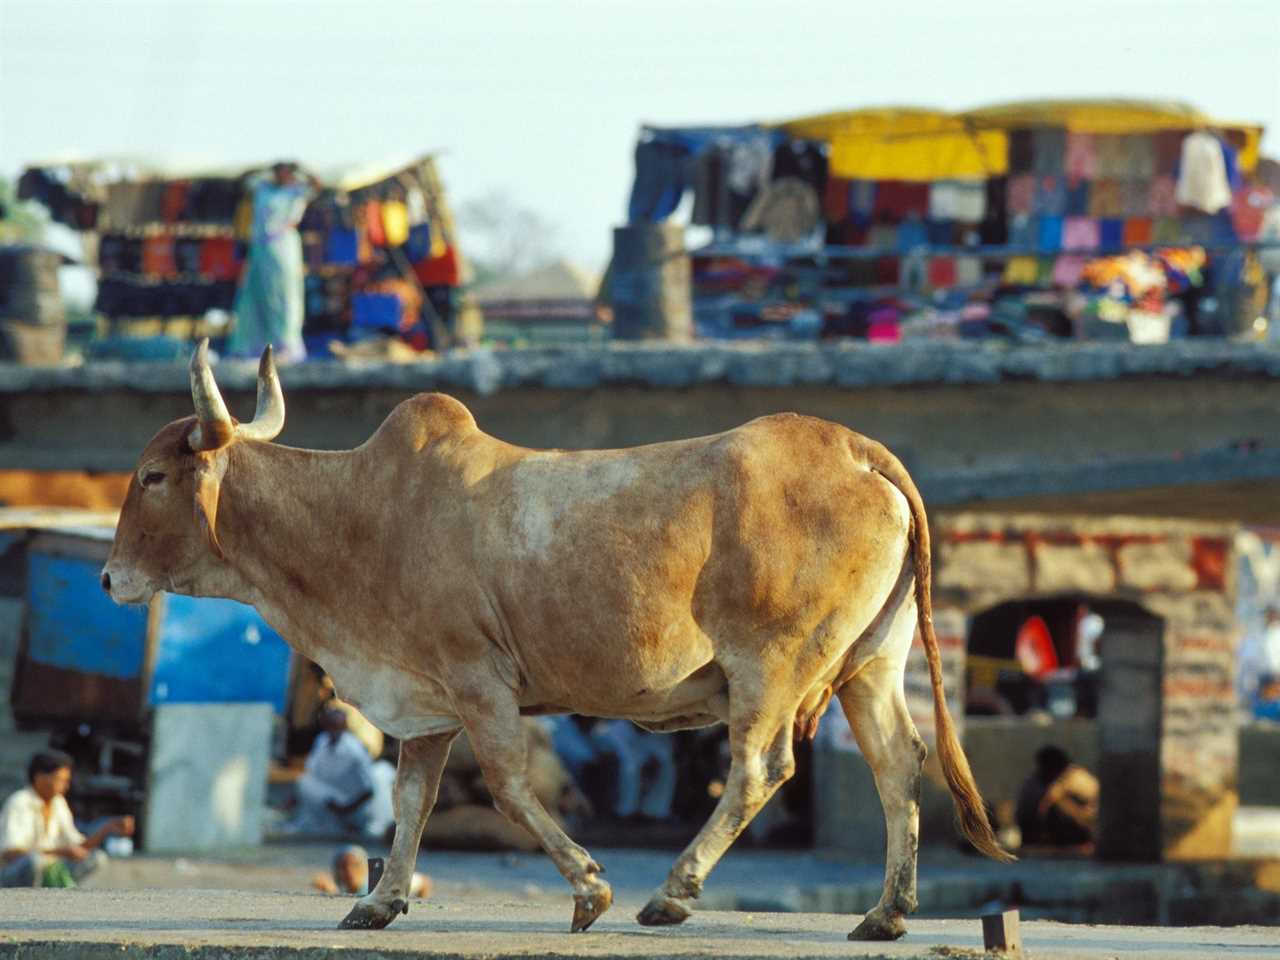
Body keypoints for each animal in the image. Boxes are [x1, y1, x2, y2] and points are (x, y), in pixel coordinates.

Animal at [104, 343, 1008, 942]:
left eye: (152, 477)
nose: (110, 579)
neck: (357, 518)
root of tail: (856, 448)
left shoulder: (479, 681)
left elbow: (507, 788)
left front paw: (589, 890)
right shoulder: (427, 704)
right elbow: (411, 799)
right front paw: (377, 901)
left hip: (774, 667)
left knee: (758, 769)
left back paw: (671, 893)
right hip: (870, 664)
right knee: (897, 765)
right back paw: (886, 912)